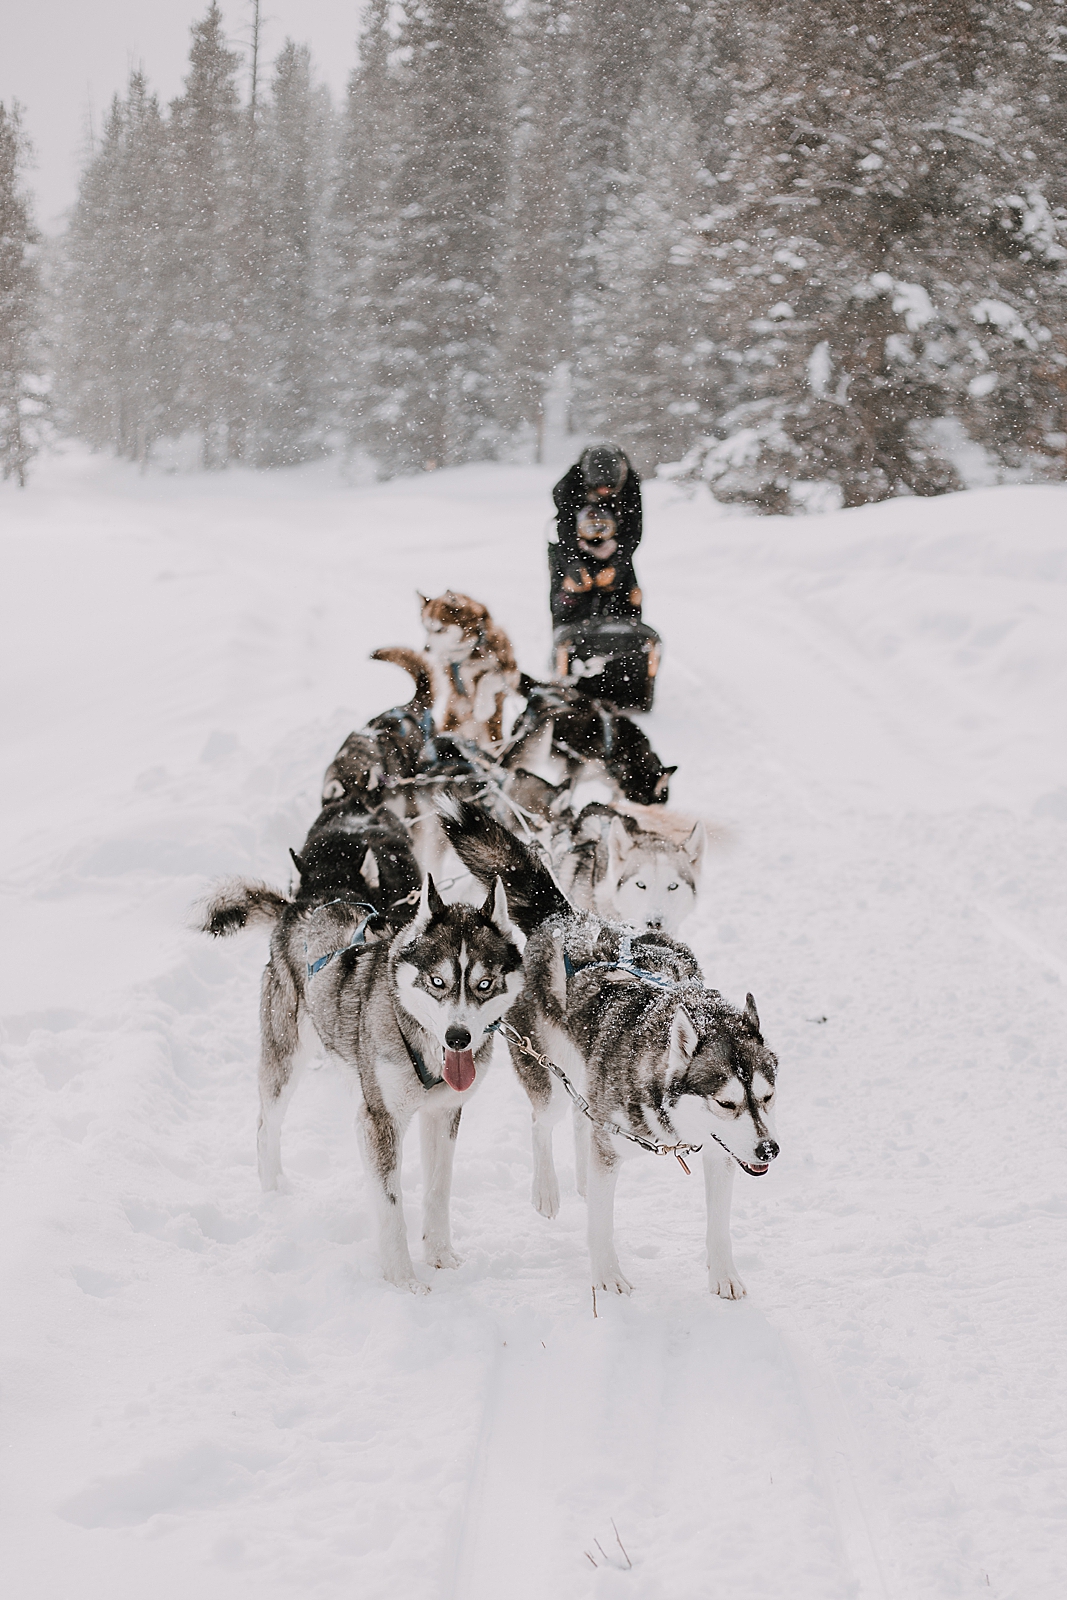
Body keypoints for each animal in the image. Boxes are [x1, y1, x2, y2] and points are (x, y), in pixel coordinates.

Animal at [199, 864, 524, 1286]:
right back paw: (272, 1194)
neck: (417, 1037)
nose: (458, 1038)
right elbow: (390, 1205)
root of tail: (298, 907)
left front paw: (439, 1256)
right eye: (437, 982)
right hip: (285, 1056)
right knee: (265, 1127)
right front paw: (403, 1281)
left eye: (484, 985)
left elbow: (438, 1189)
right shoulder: (378, 1120)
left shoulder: (443, 1114)